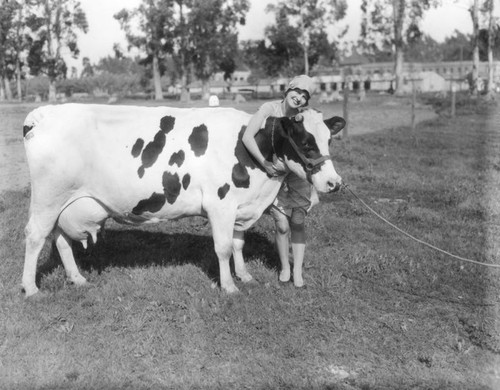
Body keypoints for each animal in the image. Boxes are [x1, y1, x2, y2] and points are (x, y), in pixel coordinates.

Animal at [22, 102, 344, 298]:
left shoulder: (240, 205)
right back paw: (30, 287)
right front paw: (228, 285)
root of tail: (44, 113)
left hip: (66, 202)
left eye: (329, 140)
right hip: (48, 197)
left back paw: (76, 278)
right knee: (35, 236)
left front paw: (244, 275)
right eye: (306, 143)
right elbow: (223, 248)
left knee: (61, 239)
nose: (334, 183)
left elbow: (238, 243)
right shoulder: (220, 204)